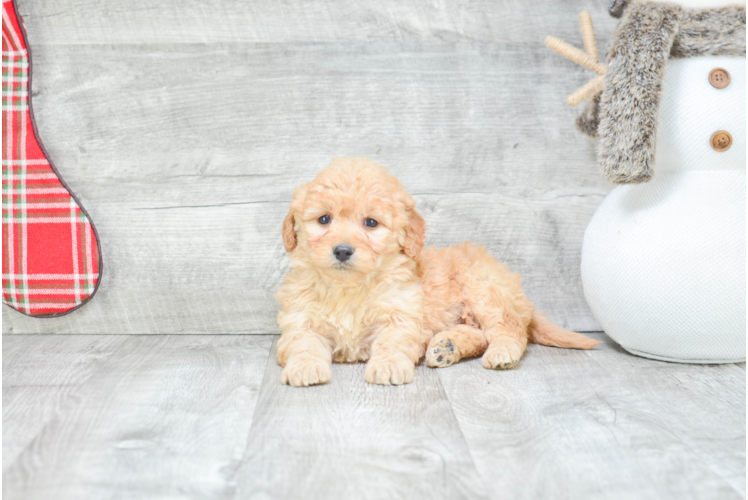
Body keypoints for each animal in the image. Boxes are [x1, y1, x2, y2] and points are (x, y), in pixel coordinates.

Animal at [278, 157, 600, 386]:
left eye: (371, 223)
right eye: (324, 219)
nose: (343, 250)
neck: (349, 288)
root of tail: (523, 298)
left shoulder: (402, 316)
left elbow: (392, 341)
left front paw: (388, 366)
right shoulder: (300, 319)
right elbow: (304, 342)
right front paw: (305, 367)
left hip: (484, 290)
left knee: (509, 329)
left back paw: (500, 353)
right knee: (479, 334)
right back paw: (448, 347)